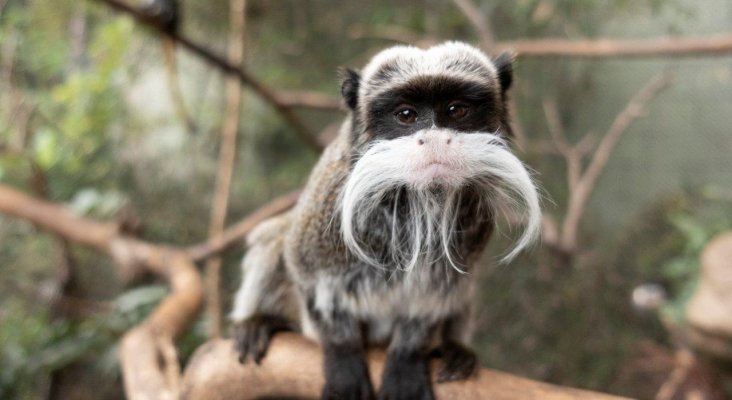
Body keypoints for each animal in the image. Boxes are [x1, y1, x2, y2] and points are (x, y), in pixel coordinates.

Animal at [230, 42, 544, 398]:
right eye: (406, 115)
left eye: (455, 110)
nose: (434, 139)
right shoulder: (326, 210)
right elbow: (308, 277)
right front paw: (343, 360)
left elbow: (432, 300)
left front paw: (407, 358)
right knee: (274, 236)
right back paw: (259, 321)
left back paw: (455, 351)